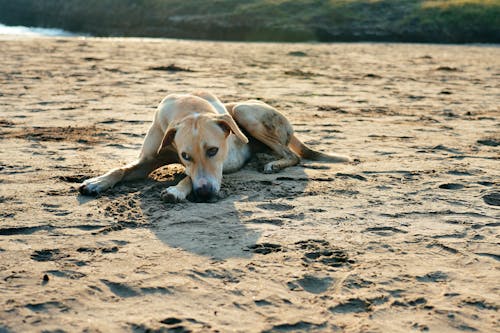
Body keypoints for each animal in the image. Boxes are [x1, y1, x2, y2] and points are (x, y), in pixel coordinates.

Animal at [79, 90, 352, 202]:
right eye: (185, 155)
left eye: (213, 151)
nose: (205, 194)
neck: (189, 109)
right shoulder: (148, 160)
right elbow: (122, 169)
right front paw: (96, 182)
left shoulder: (219, 168)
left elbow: (189, 177)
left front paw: (177, 190)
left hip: (244, 110)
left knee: (293, 155)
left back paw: (274, 164)